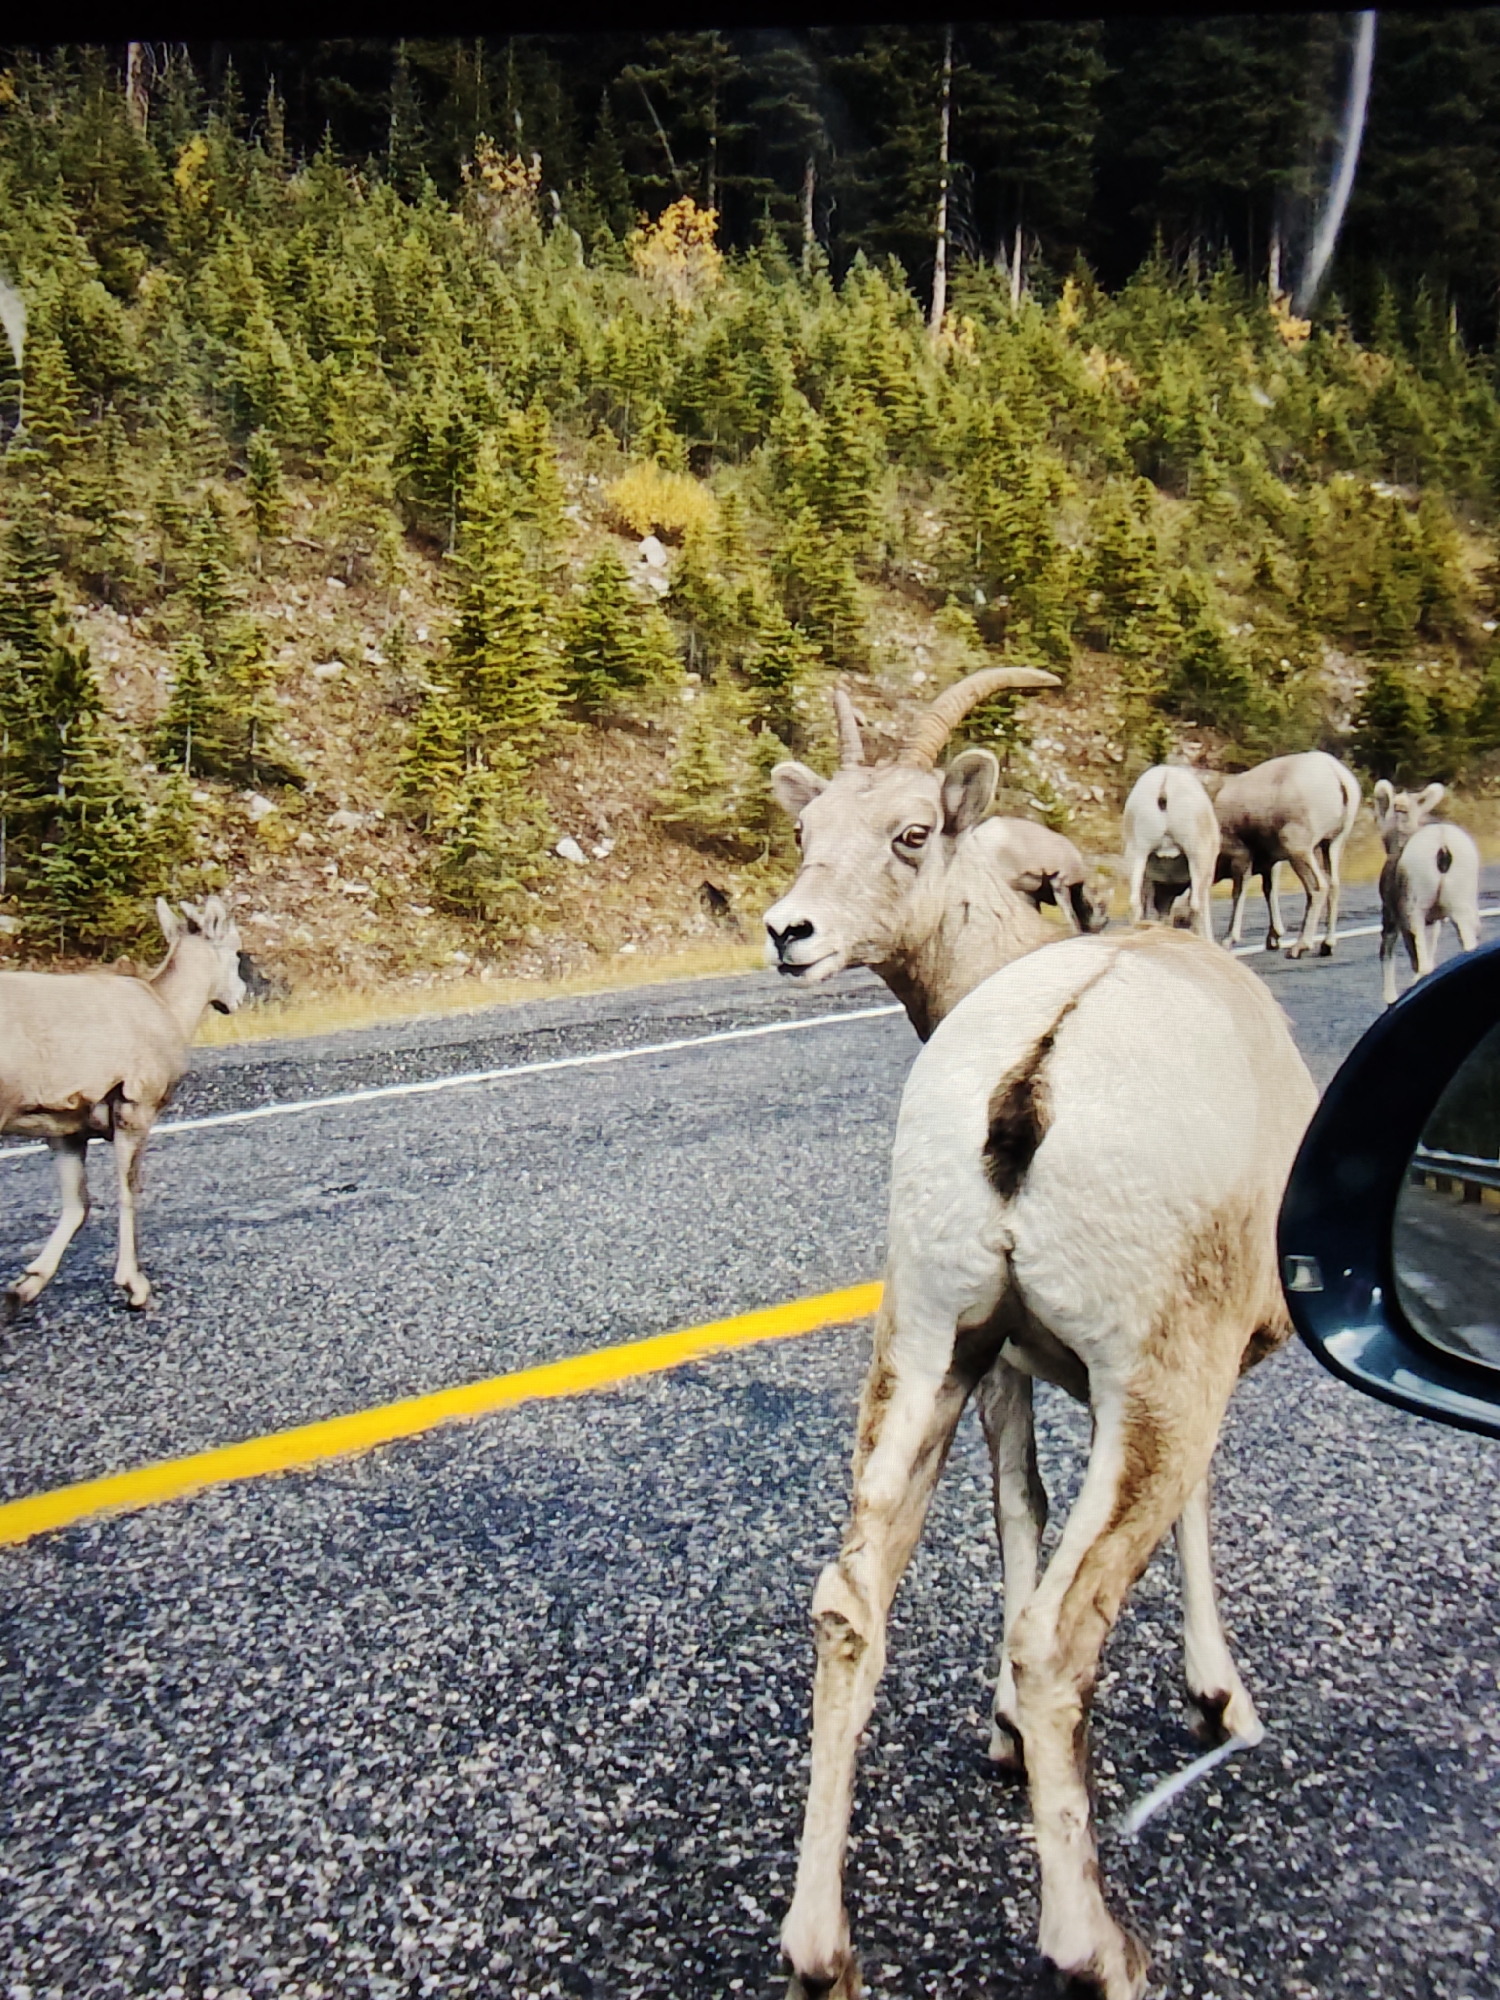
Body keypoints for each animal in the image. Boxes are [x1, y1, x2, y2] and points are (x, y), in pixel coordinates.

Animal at [0, 896, 245, 1317]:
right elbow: (128, 1192)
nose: (239, 996)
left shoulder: (66, 1132)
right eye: (234, 949)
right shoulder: (135, 1112)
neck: (166, 1007)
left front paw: (22, 1289)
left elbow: (78, 1205)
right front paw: (135, 1288)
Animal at [1213, 750, 1362, 956]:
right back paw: (1327, 945)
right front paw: (1273, 939)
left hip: (1299, 849)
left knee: (1318, 887)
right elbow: (1270, 891)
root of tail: (1337, 775)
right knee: (1334, 885)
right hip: (1332, 844)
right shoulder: (1271, 864)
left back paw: (1299, 947)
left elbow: (1238, 893)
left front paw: (1228, 940)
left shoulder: (1241, 858)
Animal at [1373, 780, 1481, 1006]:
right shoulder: (1435, 920)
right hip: (1461, 910)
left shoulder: (1394, 917)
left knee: (1423, 965)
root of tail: (1443, 845)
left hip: (1415, 913)